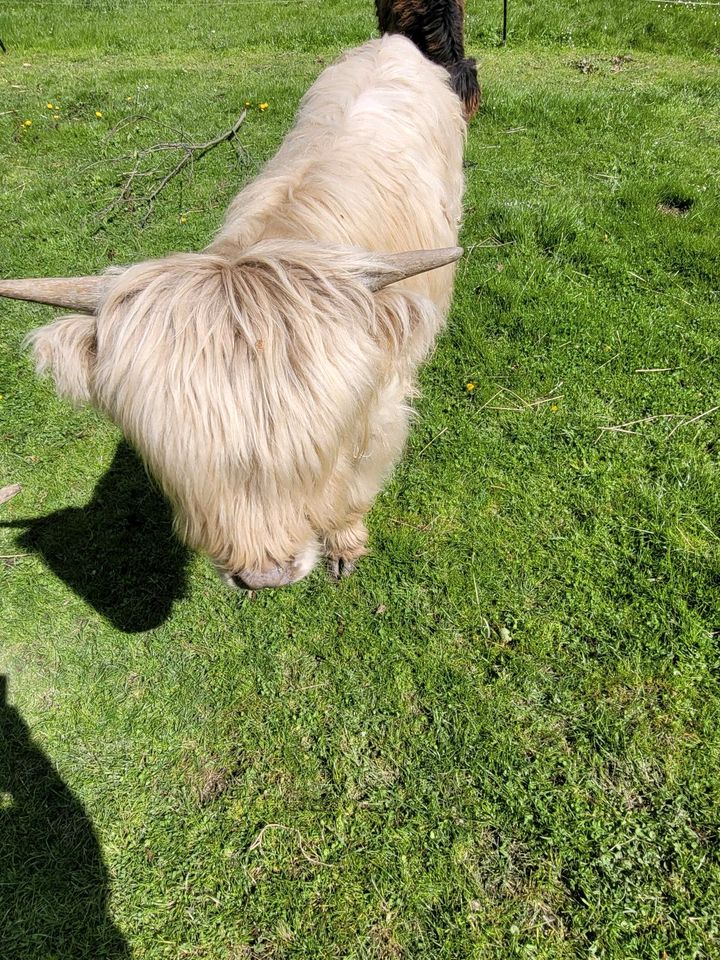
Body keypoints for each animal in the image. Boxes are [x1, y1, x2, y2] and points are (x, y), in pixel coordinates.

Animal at [2, 35, 464, 584]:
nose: (264, 577)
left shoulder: (382, 411)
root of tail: (393, 41)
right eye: (180, 460)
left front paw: (345, 544)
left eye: (316, 447)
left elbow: (355, 486)